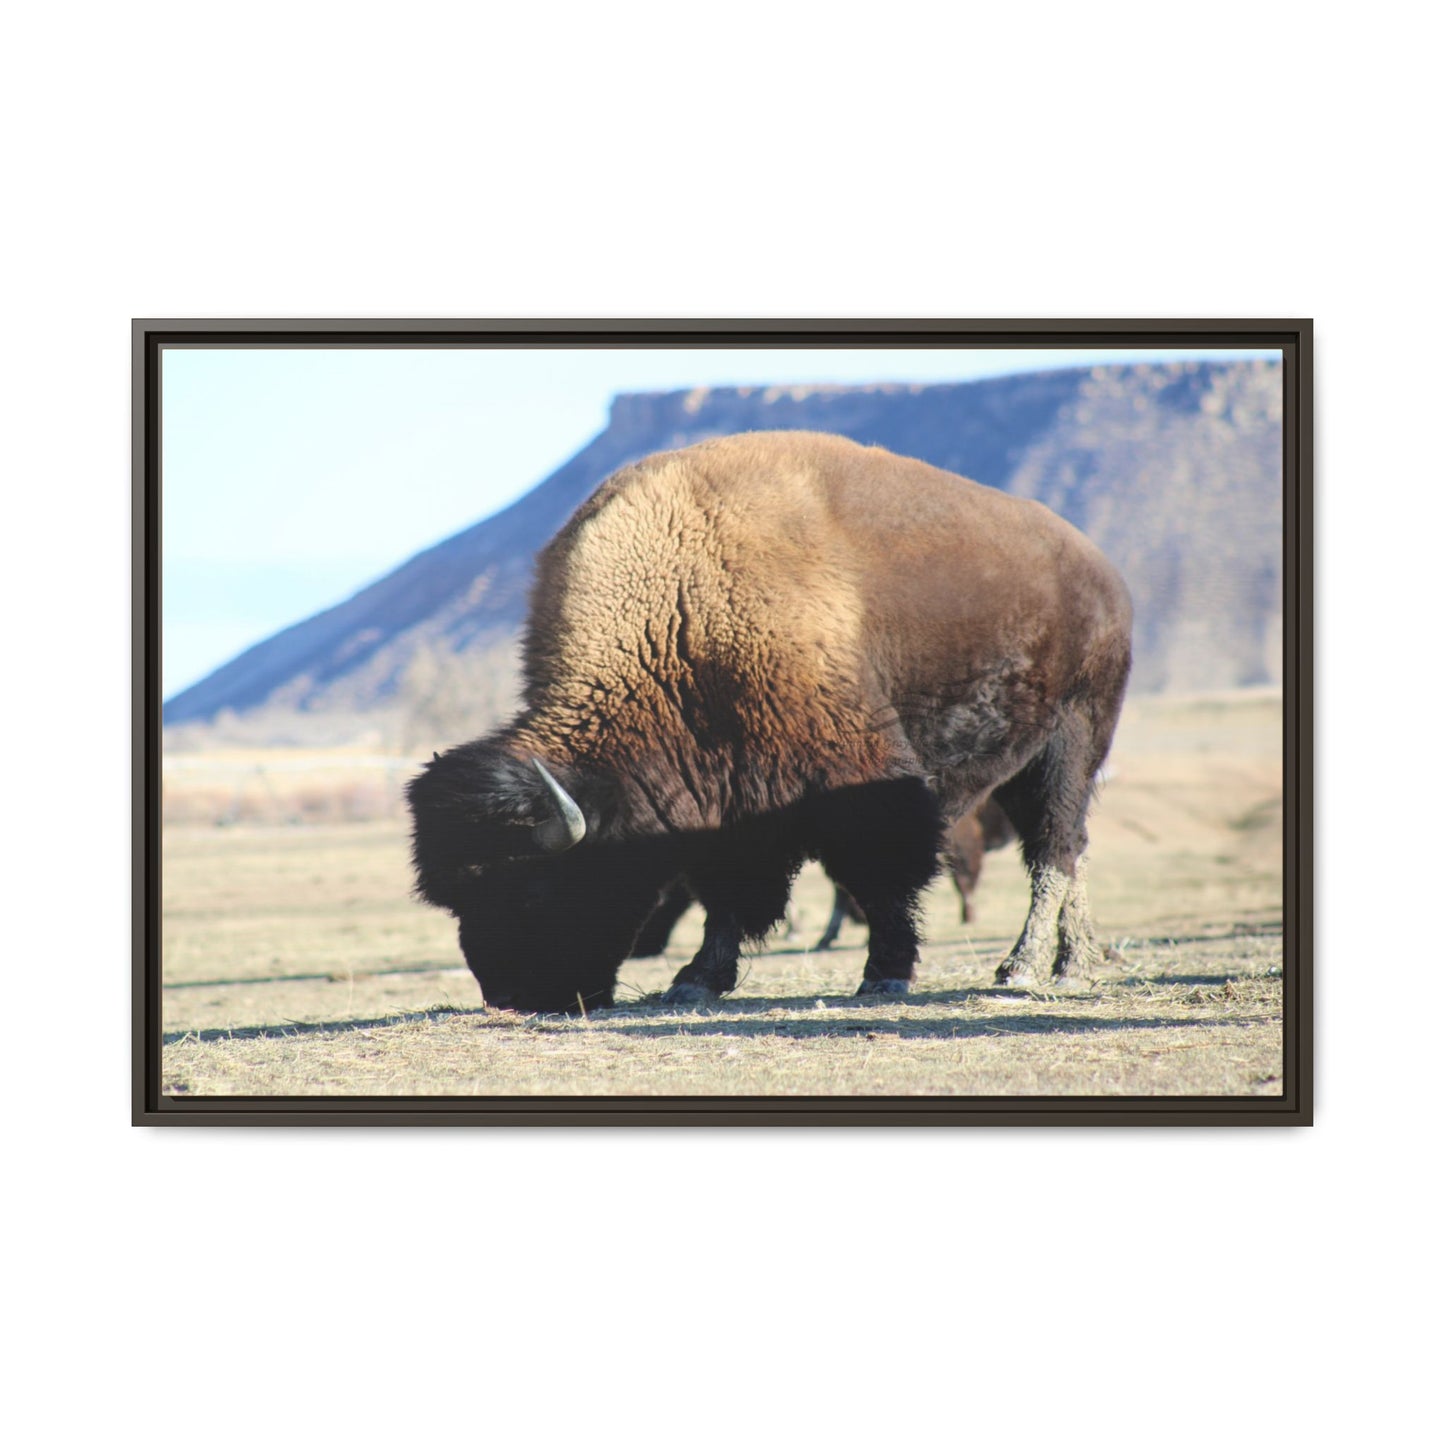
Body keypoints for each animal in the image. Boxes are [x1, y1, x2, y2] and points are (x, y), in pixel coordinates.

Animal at [408, 430, 1132, 1011]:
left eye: (530, 888)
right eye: (457, 899)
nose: (512, 995)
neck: (678, 614)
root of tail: (1101, 572)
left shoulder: (859, 780)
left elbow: (881, 876)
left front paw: (885, 974)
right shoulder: (724, 802)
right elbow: (726, 893)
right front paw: (695, 980)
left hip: (1072, 741)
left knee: (1054, 848)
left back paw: (1026, 967)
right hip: (1023, 763)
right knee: (1068, 849)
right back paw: (1074, 961)